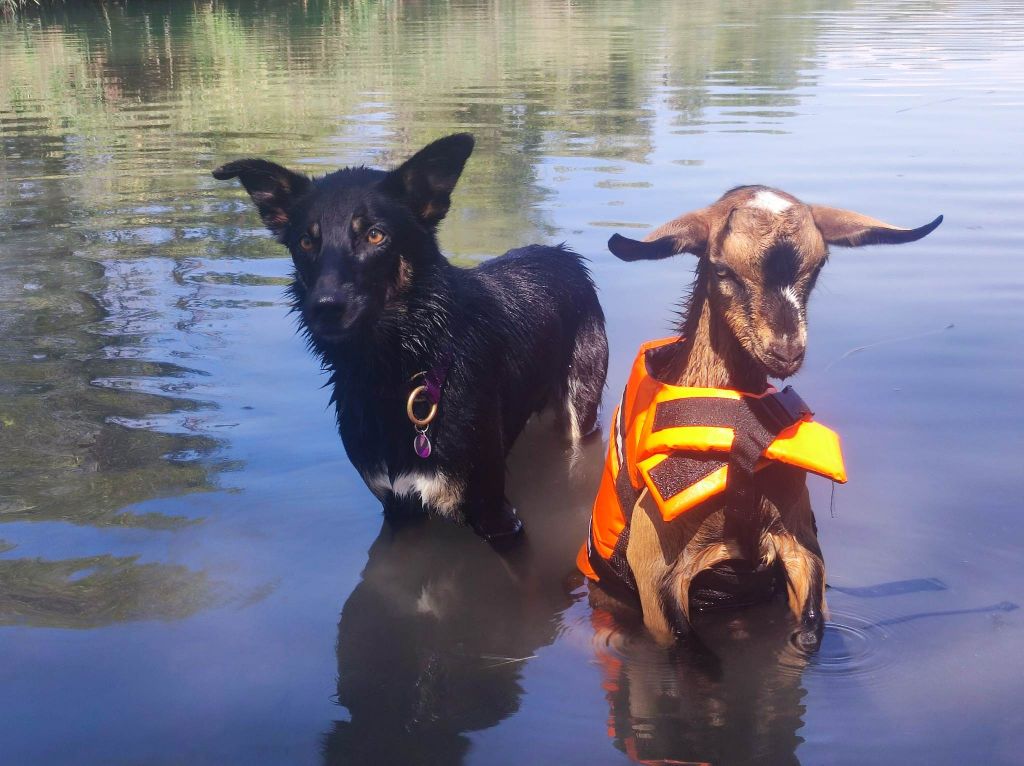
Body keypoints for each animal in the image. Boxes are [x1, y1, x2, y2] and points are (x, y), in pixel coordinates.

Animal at [210, 133, 602, 536]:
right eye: (306, 241)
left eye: (374, 235)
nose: (324, 308)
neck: (397, 369)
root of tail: (566, 255)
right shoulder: (396, 506)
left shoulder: (495, 513)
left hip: (580, 406)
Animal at [598, 182, 942, 651]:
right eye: (721, 268)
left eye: (819, 264)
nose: (786, 350)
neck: (739, 438)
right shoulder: (654, 567)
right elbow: (692, 653)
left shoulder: (800, 544)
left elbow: (811, 628)